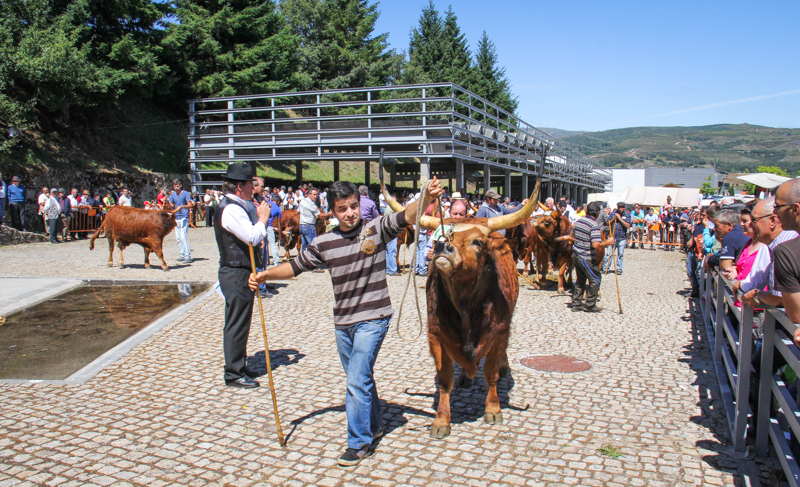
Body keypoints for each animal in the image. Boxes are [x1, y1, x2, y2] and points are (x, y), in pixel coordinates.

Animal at [382, 179, 544, 438]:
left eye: (477, 242)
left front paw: (493, 409)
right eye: (442, 235)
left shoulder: (498, 331)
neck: (465, 305)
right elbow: (444, 379)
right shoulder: (436, 336)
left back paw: (504, 367)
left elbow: (490, 374)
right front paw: (441, 420)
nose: (441, 247)